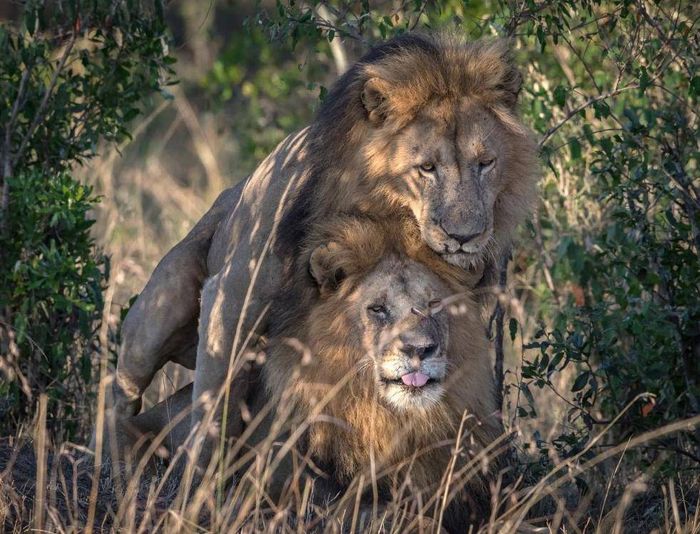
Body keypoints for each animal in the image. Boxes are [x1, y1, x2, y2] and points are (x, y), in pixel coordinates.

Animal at [102, 33, 538, 463]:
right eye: (426, 168)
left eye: (486, 163)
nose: (464, 236)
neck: (386, 215)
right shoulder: (230, 297)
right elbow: (212, 411)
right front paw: (201, 481)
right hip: (161, 308)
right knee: (121, 395)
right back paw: (120, 465)